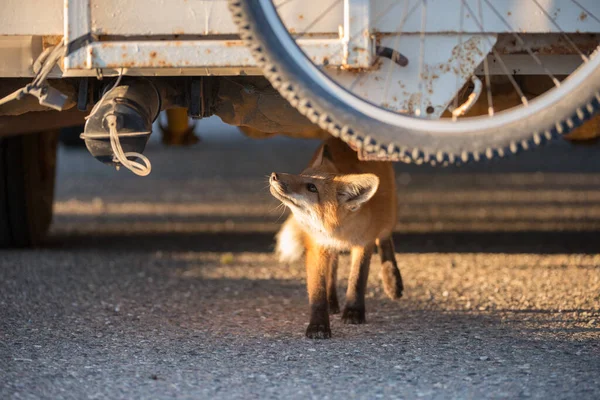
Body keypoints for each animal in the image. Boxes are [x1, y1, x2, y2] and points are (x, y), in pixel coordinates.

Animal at [270, 137, 404, 338]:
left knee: (385, 240)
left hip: (388, 216)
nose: (274, 175)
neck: (338, 233)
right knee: (332, 268)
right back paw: (332, 301)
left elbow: (357, 279)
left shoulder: (364, 243)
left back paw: (392, 281)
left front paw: (354, 312)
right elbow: (318, 289)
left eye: (312, 187)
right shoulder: (317, 246)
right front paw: (318, 324)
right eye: (302, 174)